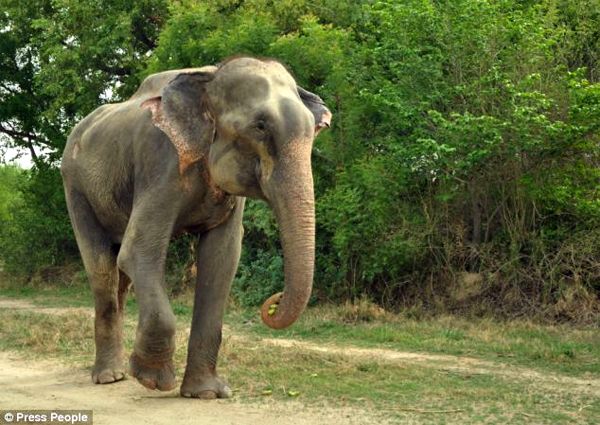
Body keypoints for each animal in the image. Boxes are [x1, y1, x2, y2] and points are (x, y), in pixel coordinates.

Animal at [60, 56, 330, 398]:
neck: (209, 77)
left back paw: (117, 373)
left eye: (313, 131)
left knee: (118, 276)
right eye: (260, 126)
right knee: (102, 267)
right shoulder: (161, 160)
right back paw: (109, 376)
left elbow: (221, 259)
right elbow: (138, 252)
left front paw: (207, 393)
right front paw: (152, 380)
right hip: (75, 187)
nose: (273, 302)